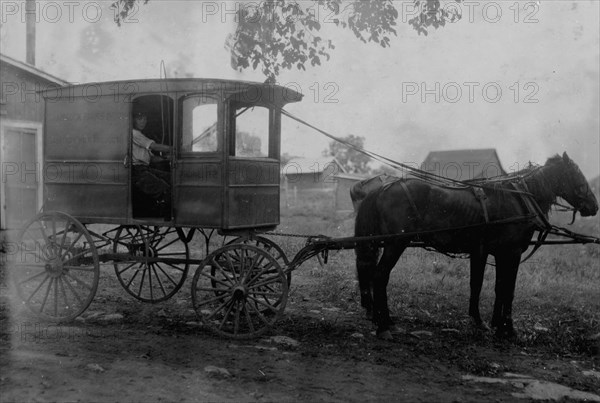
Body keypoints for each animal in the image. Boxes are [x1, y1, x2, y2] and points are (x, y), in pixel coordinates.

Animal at [354, 153, 596, 340]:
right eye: (577, 174)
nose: (594, 206)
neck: (518, 201)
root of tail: (383, 188)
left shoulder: (492, 253)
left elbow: (492, 287)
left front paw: (492, 323)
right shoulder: (511, 253)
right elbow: (507, 290)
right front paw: (508, 329)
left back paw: (384, 320)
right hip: (396, 243)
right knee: (380, 276)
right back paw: (383, 326)